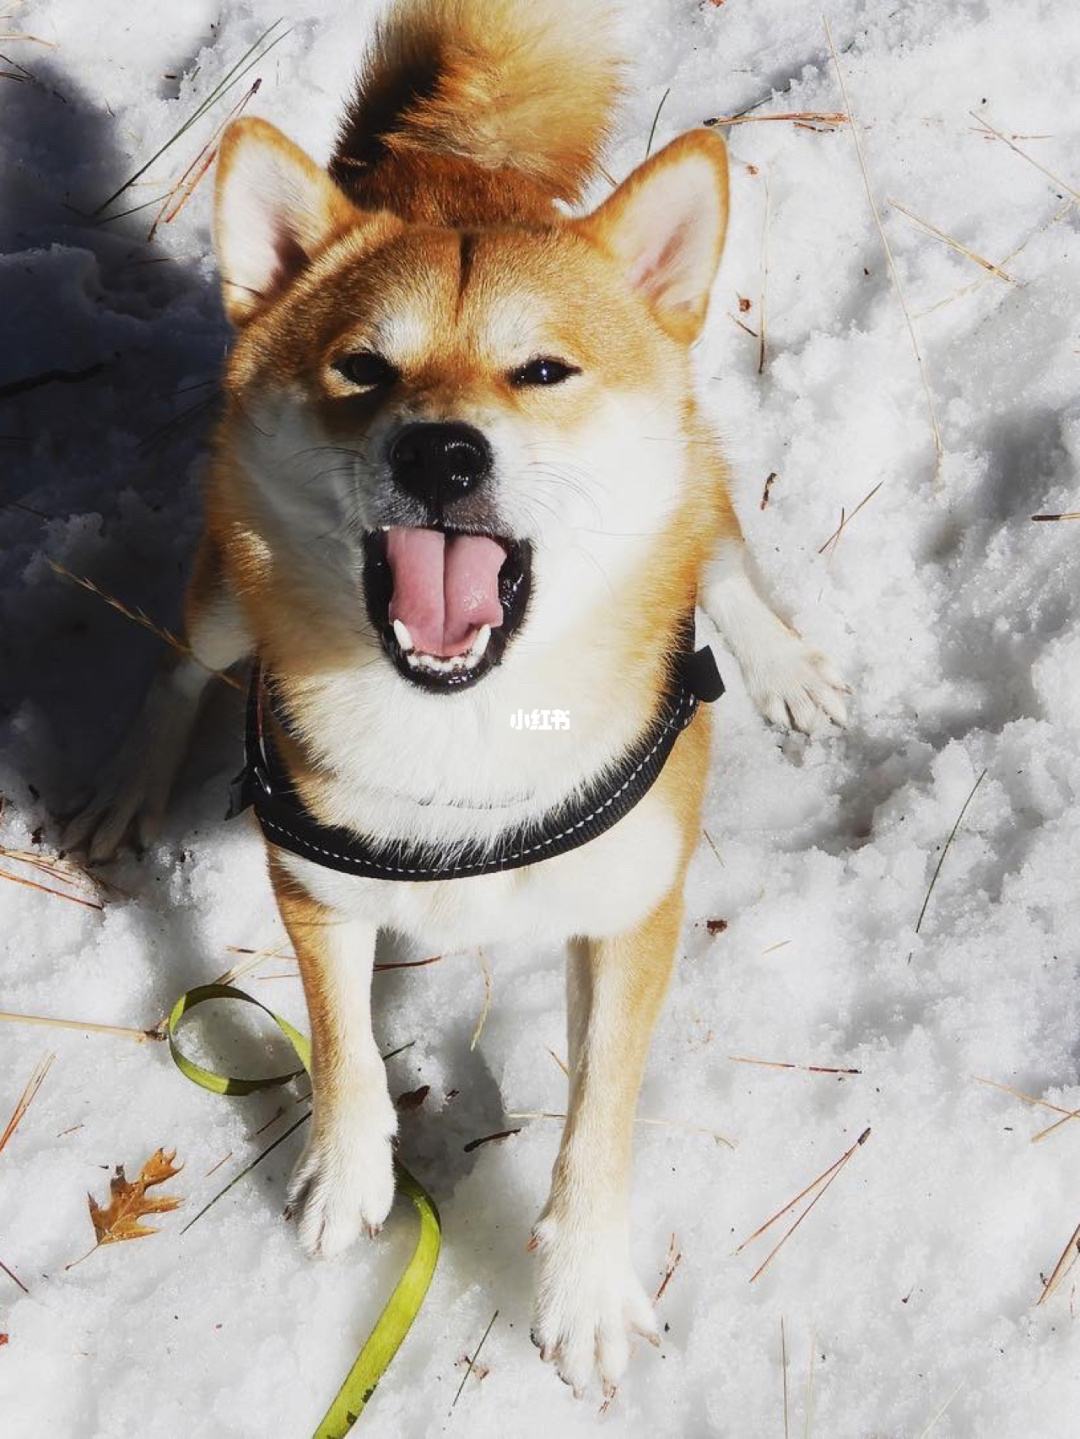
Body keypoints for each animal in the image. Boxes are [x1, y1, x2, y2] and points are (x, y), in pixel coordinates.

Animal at [67, 0, 851, 1398]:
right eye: (361, 368)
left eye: (542, 371)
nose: (441, 451)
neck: (469, 735)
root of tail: (445, 168)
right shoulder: (315, 884)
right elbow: (343, 1050)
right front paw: (346, 1175)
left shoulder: (631, 914)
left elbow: (597, 1117)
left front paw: (583, 1283)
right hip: (228, 584)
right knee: (178, 656)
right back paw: (126, 780)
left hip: (690, 477)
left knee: (714, 535)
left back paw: (781, 659)